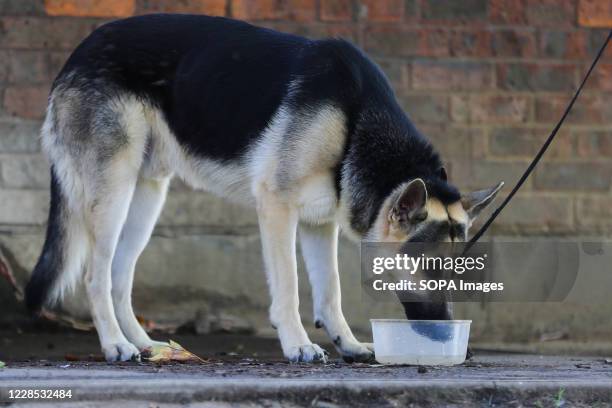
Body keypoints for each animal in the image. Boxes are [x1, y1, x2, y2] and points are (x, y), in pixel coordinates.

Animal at [23, 13, 502, 364]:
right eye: (430, 271)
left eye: (458, 274)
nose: (452, 338)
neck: (357, 122)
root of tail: (76, 54)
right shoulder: (276, 208)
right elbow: (289, 285)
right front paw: (298, 344)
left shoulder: (318, 224)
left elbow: (330, 291)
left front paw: (346, 343)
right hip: (113, 194)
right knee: (95, 275)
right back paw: (115, 345)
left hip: (147, 197)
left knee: (120, 276)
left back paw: (146, 345)